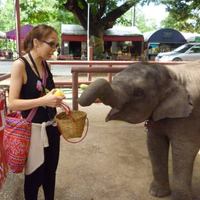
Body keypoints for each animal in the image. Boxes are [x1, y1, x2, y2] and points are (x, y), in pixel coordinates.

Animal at [78, 61, 200, 200]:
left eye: (139, 93)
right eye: (115, 77)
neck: (173, 75)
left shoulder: (191, 116)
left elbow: (184, 150)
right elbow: (155, 144)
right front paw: (156, 194)